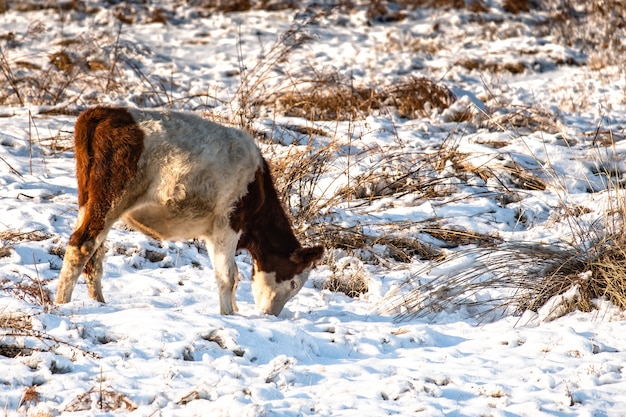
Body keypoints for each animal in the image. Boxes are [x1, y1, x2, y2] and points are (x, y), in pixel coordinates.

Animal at [54, 105, 322, 314]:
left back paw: (98, 302)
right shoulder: (228, 222)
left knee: (94, 252)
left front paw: (233, 310)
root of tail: (104, 112)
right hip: (112, 196)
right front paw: (228, 315)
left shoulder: (213, 232)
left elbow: (232, 274)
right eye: (293, 284)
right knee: (82, 244)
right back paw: (62, 304)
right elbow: (228, 275)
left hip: (88, 199)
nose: (271, 315)